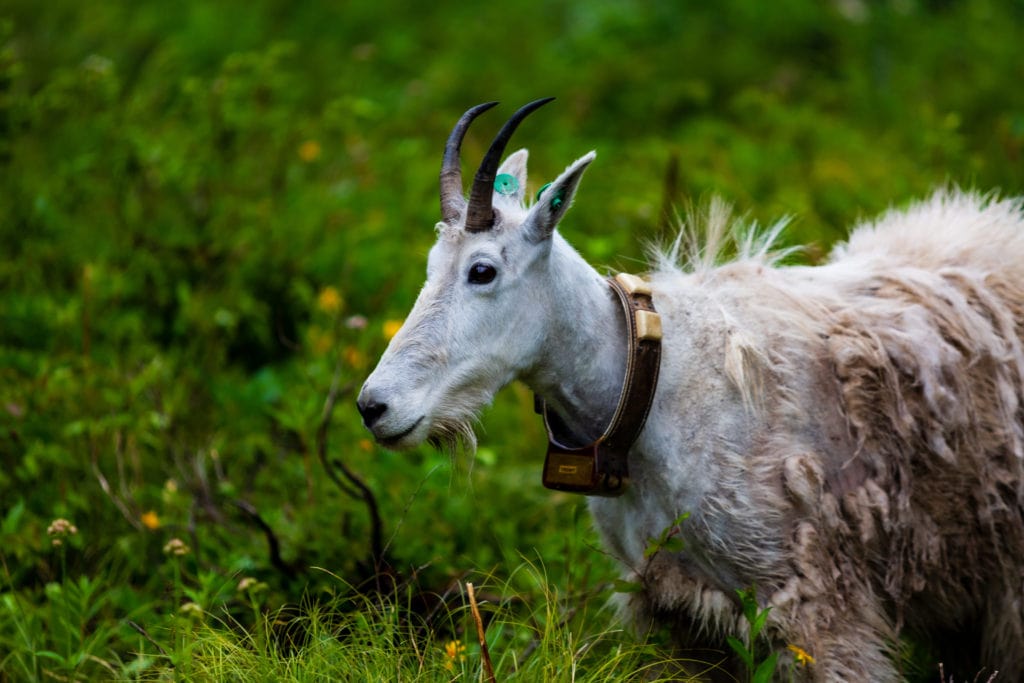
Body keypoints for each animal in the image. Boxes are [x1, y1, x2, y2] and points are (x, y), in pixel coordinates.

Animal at [358, 98, 1024, 679]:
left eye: (482, 270)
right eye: (430, 267)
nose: (374, 406)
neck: (648, 395)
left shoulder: (819, 612)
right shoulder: (679, 611)